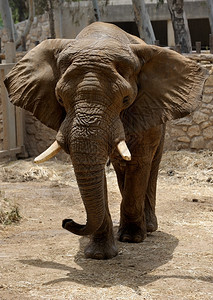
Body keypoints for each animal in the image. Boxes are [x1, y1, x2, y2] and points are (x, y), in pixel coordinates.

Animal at [4, 22, 206, 258]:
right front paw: (99, 255)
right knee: (121, 168)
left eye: (126, 99)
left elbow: (138, 162)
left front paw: (131, 239)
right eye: (60, 99)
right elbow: (95, 169)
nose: (67, 221)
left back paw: (148, 228)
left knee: (150, 164)